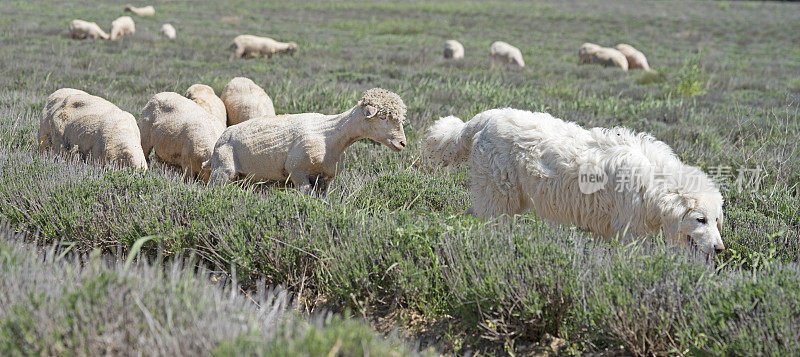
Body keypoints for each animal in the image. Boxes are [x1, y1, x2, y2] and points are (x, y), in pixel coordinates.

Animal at [203, 88, 410, 195]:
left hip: (247, 179)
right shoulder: (298, 172)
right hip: (222, 171)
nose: (402, 143)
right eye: (383, 117)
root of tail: (221, 138)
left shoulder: (326, 179)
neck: (331, 135)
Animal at [424, 108, 724, 256]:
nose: (721, 249)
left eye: (715, 220)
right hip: (499, 197)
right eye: (700, 220)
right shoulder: (629, 231)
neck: (654, 185)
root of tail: (483, 117)